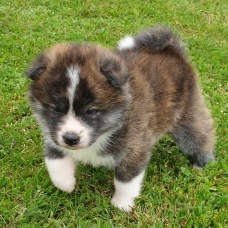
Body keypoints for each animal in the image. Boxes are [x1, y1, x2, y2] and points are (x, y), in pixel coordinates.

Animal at [26, 25, 216, 211]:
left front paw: (122, 205)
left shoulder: (135, 148)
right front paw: (66, 184)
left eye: (91, 111)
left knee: (200, 135)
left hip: (186, 117)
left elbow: (125, 181)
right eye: (56, 109)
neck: (105, 131)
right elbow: (54, 162)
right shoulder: (53, 136)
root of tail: (172, 51)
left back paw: (202, 164)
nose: (71, 139)